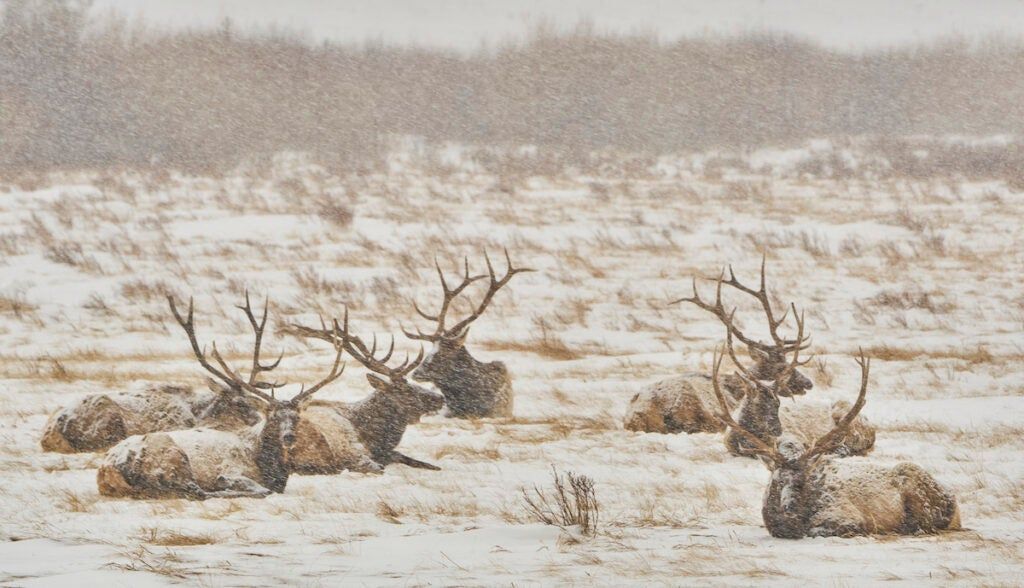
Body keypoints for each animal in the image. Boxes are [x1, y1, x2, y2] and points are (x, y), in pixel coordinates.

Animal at [96, 294, 343, 500]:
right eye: (272, 416)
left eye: (297, 416)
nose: (289, 437)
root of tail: (109, 468)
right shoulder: (233, 468)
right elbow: (260, 489)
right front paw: (226, 483)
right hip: (172, 457)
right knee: (195, 491)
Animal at [710, 347, 960, 538]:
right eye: (778, 480)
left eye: (803, 480)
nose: (789, 508)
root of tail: (953, 501)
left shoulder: (847, 516)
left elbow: (818, 530)